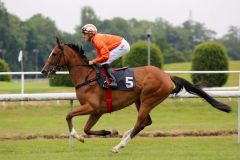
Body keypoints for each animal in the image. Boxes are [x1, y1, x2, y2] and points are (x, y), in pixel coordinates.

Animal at [41, 37, 231, 152]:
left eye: (55, 53)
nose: (43, 71)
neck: (87, 77)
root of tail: (166, 76)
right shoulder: (98, 111)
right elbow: (87, 128)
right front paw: (105, 132)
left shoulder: (92, 107)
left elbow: (68, 115)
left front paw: (78, 136)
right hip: (139, 100)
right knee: (146, 122)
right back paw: (124, 135)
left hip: (148, 98)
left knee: (140, 122)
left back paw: (119, 146)